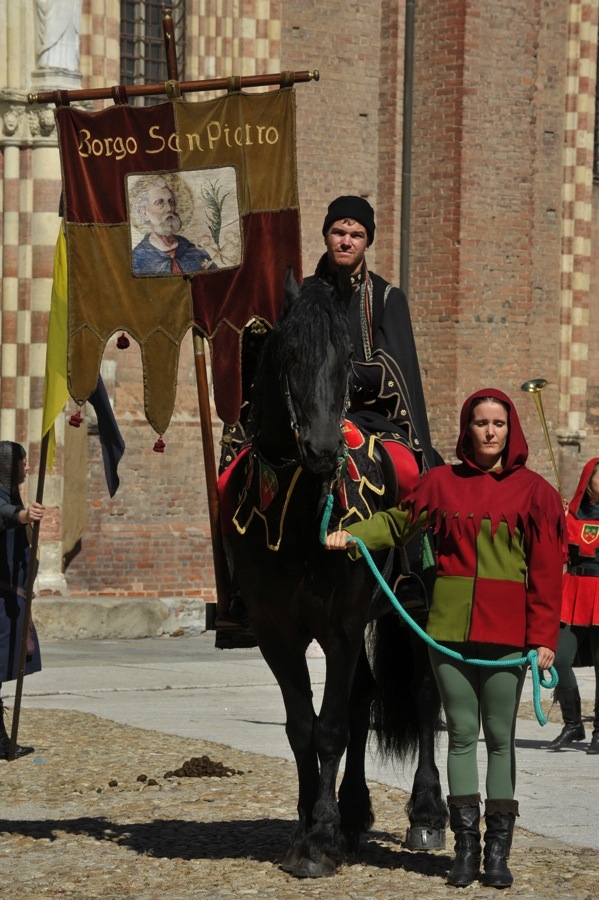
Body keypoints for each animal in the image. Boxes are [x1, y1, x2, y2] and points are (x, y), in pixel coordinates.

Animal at [223, 274, 448, 880]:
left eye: (347, 358)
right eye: (287, 354)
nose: (323, 450)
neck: (300, 515)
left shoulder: (343, 626)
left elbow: (330, 729)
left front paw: (320, 841)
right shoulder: (277, 632)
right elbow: (304, 727)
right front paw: (310, 826)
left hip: (419, 611)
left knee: (423, 697)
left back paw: (426, 813)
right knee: (362, 696)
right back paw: (353, 811)